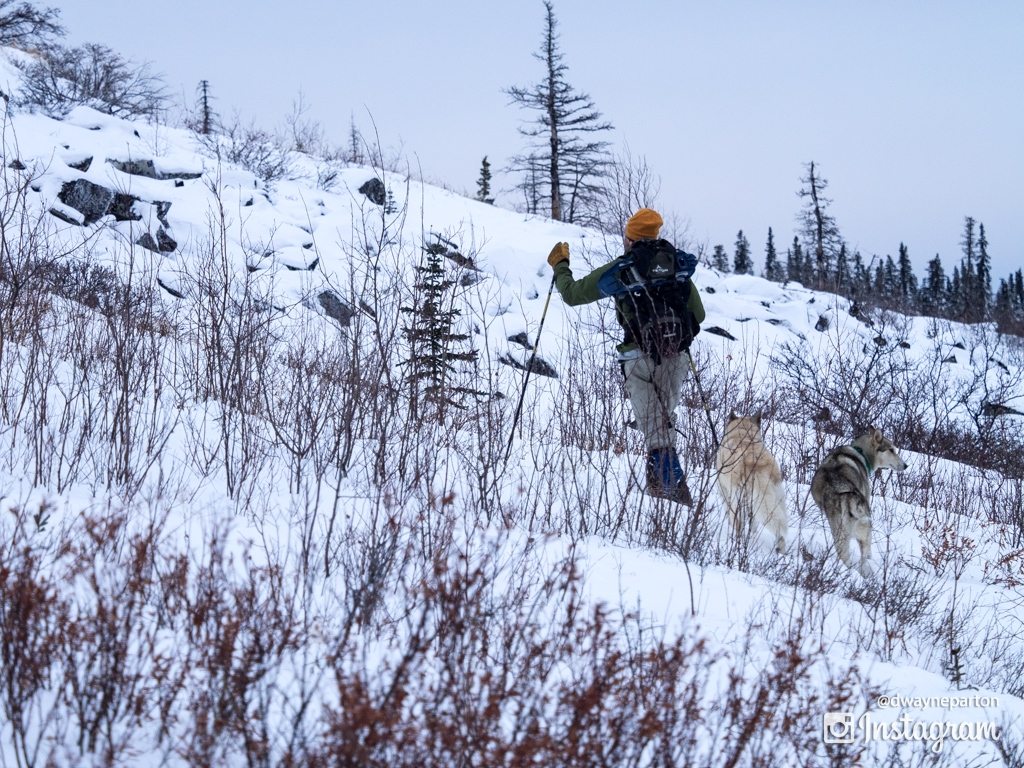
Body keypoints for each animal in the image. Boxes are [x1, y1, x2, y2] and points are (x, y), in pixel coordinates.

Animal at [716, 415, 786, 552]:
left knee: (738, 523)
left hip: (738, 501)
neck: (743, 433)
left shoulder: (724, 491)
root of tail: (757, 464)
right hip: (775, 500)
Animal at [811, 428, 909, 577]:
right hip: (862, 529)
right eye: (891, 450)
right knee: (862, 557)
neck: (860, 452)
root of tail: (848, 497)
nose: (905, 465)